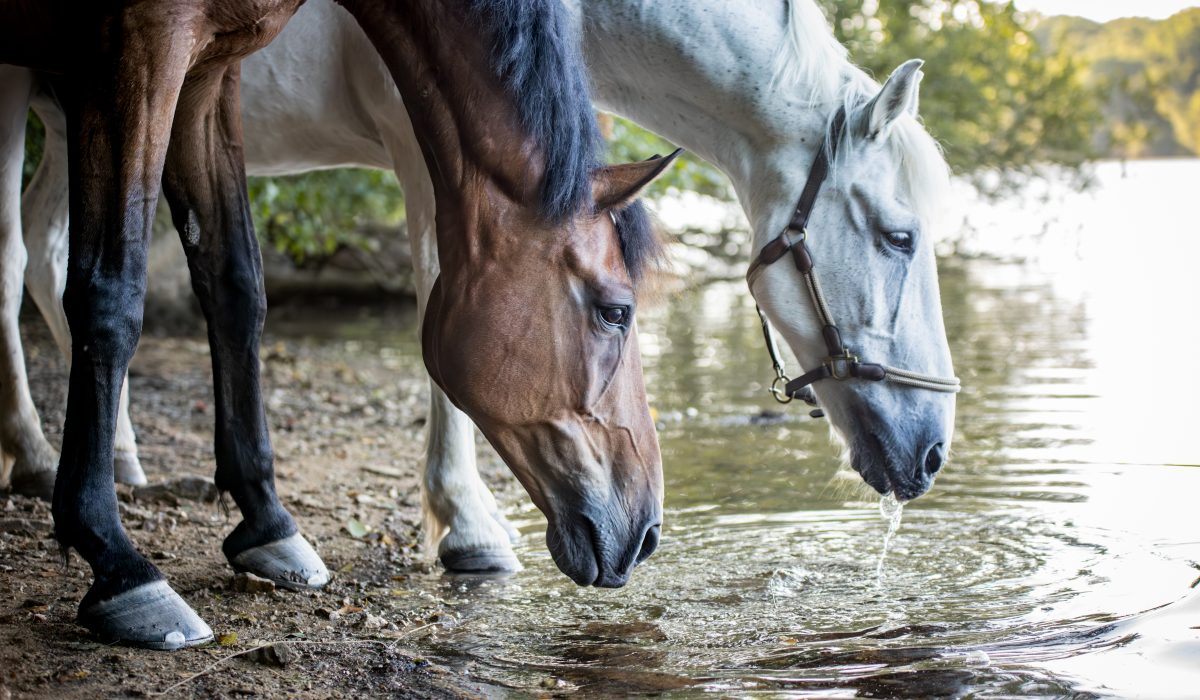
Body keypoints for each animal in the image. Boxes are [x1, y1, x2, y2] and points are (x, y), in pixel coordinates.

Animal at [0, 0, 669, 649]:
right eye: (616, 311)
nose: (648, 534)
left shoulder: (210, 69)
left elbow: (235, 283)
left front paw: (267, 522)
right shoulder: (142, 43)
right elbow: (111, 293)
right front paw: (118, 565)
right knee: (16, 260)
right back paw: (40, 456)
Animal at [3, 0, 958, 571]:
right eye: (900, 236)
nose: (933, 450)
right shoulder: (425, 146)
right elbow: (437, 288)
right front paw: (467, 522)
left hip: (76, 105)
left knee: (47, 254)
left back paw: (118, 455)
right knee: (16, 260)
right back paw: (38, 454)